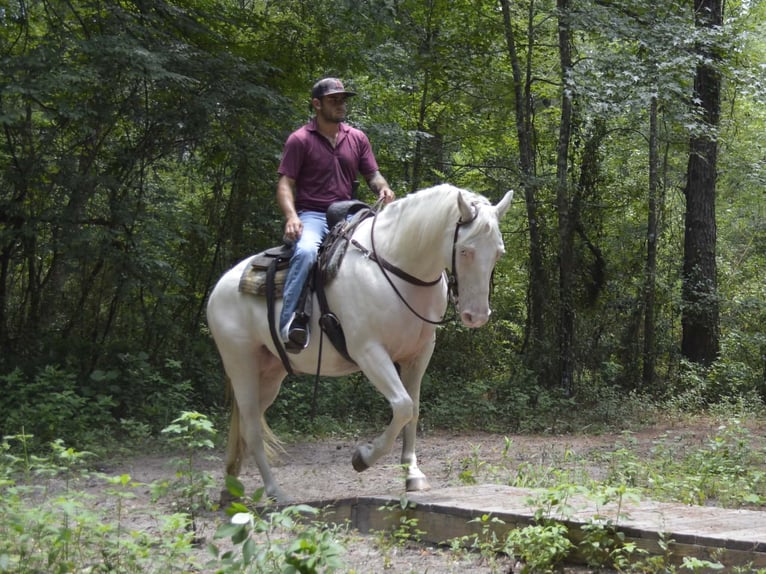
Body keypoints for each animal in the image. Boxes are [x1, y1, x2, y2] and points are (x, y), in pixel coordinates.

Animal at [206, 183, 514, 502]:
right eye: (465, 250)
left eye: (498, 253)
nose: (476, 316)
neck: (398, 269)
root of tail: (220, 287)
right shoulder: (369, 352)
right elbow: (402, 405)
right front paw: (363, 458)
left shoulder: (419, 355)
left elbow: (414, 410)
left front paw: (413, 475)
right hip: (241, 365)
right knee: (252, 429)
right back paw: (274, 491)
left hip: (269, 374)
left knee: (246, 424)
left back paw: (231, 488)